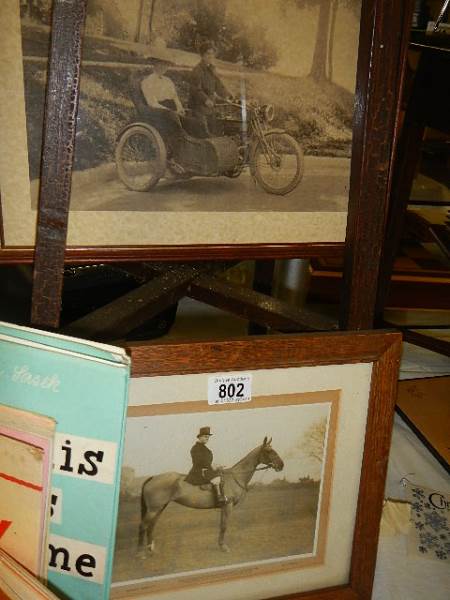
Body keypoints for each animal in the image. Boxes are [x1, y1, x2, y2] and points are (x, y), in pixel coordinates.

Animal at [139, 434, 284, 556]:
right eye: (269, 451)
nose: (281, 465)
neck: (235, 477)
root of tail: (152, 478)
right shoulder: (228, 505)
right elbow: (224, 526)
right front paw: (224, 547)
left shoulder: (224, 507)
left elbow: (221, 525)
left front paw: (220, 545)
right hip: (154, 509)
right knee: (143, 526)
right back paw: (140, 553)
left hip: (160, 507)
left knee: (151, 526)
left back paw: (151, 550)